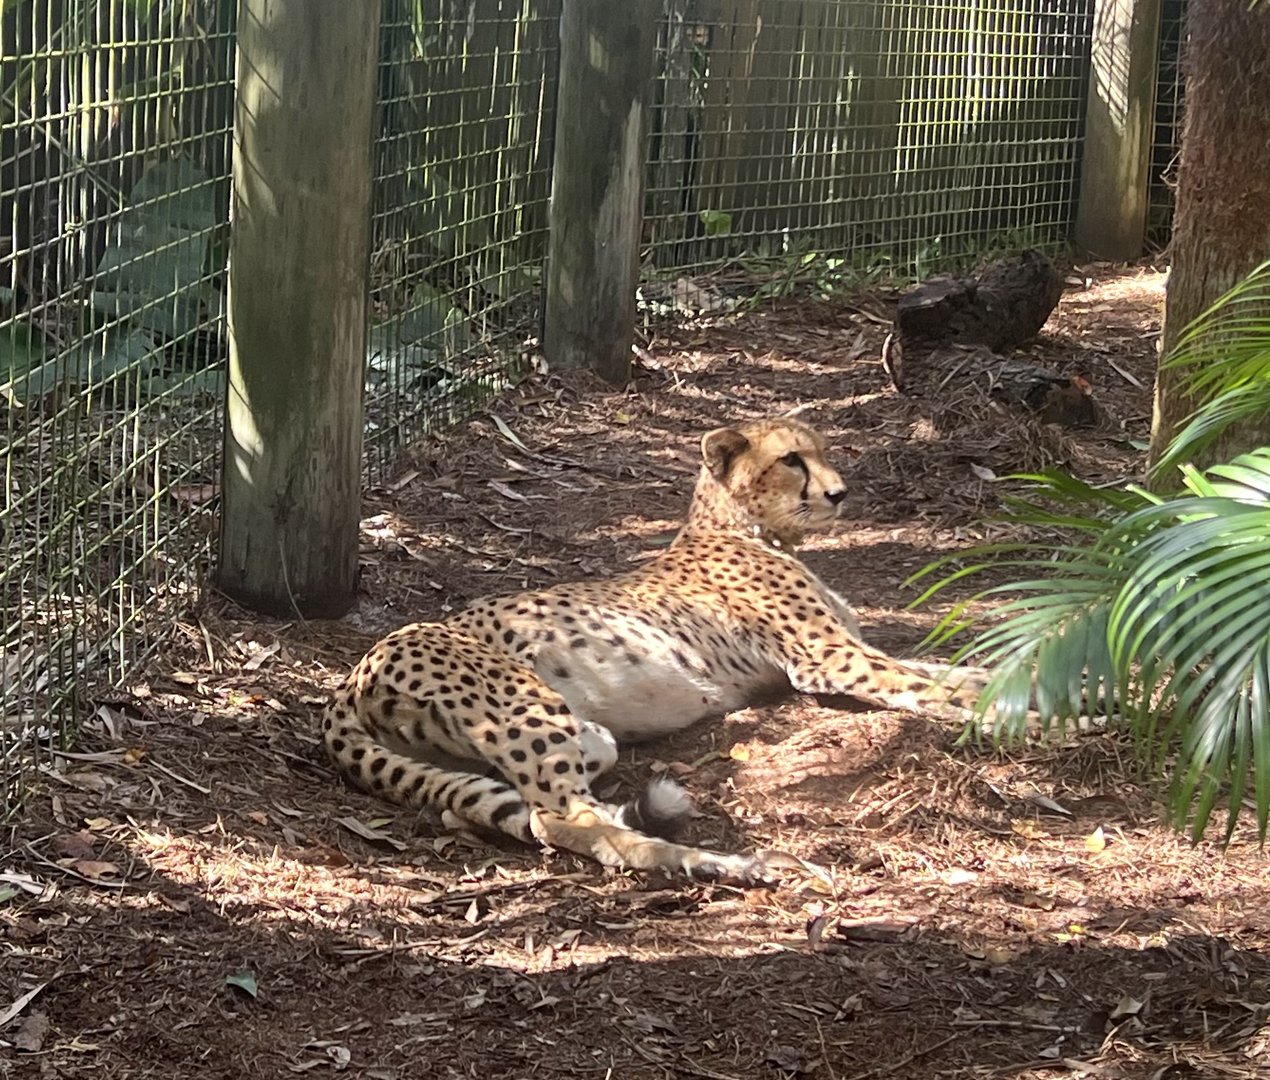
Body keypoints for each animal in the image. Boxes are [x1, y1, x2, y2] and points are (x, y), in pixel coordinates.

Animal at [322, 415, 991, 886]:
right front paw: (1013, 718)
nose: (839, 493)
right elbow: (934, 686)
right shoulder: (829, 660)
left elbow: (956, 673)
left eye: (823, 451)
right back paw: (723, 864)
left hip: (575, 735)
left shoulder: (853, 652)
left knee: (499, 805)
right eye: (791, 460)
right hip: (527, 707)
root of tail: (352, 677)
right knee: (561, 819)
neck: (742, 524)